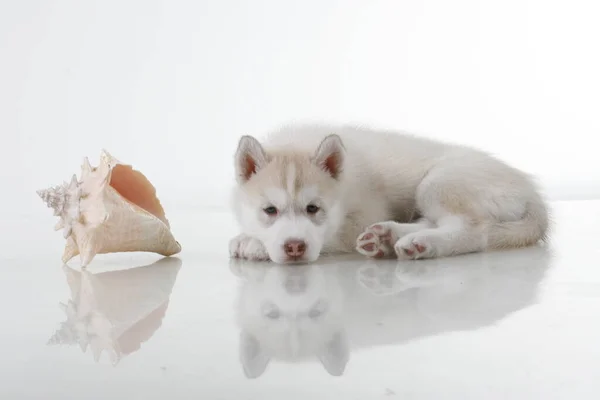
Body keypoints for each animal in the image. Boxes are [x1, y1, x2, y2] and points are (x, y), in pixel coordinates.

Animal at [229, 123, 548, 264]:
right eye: (270, 210)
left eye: (313, 209)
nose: (294, 247)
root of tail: (532, 193)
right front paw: (249, 237)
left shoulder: (362, 215)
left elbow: (330, 236)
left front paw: (254, 243)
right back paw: (387, 237)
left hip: (439, 183)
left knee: (473, 230)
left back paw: (423, 243)